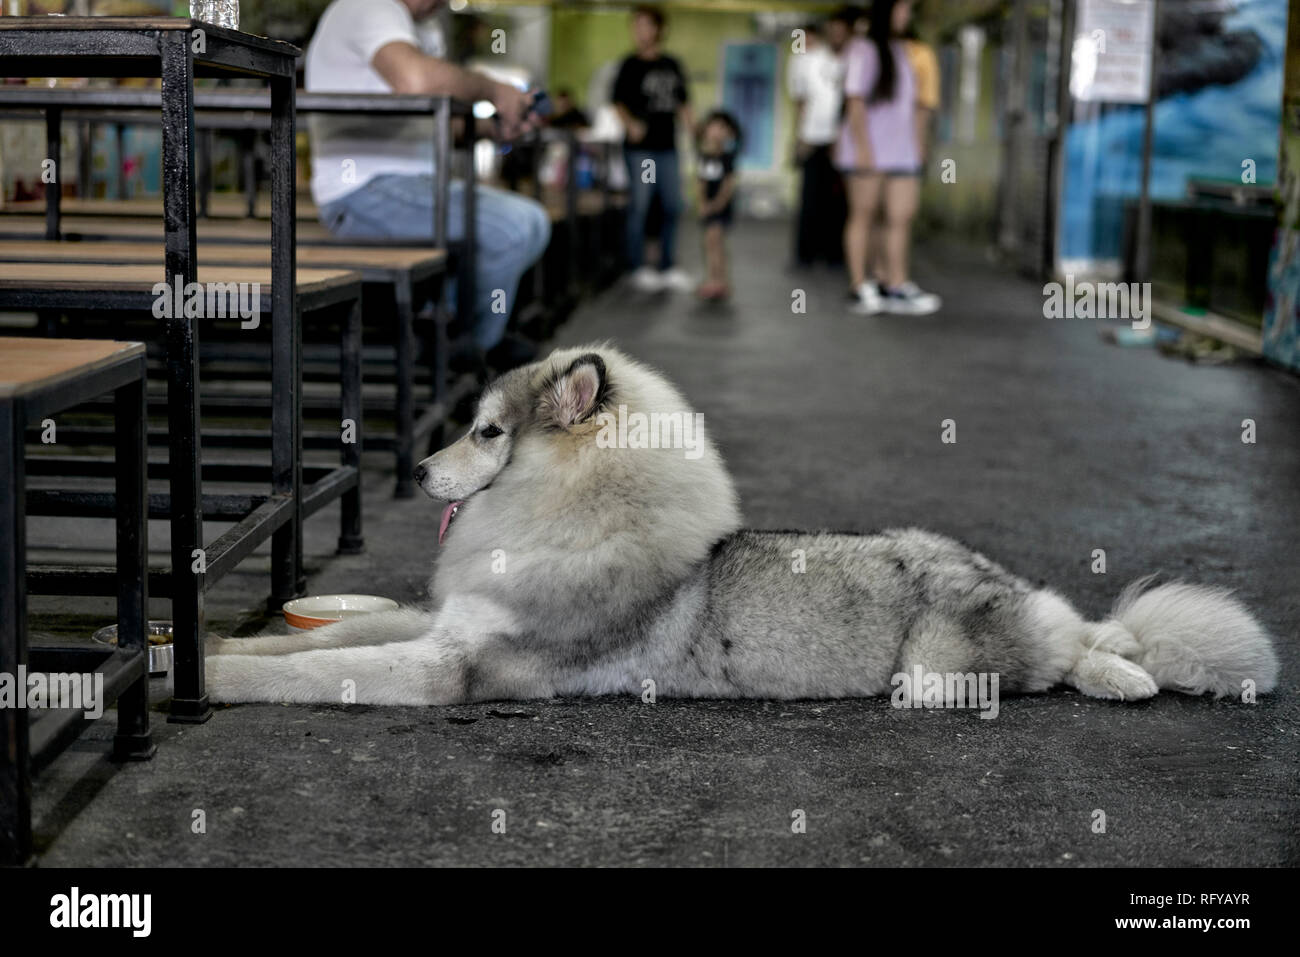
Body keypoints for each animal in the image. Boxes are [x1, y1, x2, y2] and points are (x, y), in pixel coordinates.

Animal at [205, 343, 1279, 702]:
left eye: (485, 431)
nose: (422, 469)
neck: (570, 516)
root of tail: (1005, 581)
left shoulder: (450, 665)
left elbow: (323, 671)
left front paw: (217, 682)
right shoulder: (444, 620)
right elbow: (325, 636)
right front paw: (214, 646)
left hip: (943, 658)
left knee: (1059, 654)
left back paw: (1122, 676)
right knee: (1089, 633)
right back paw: (1126, 664)